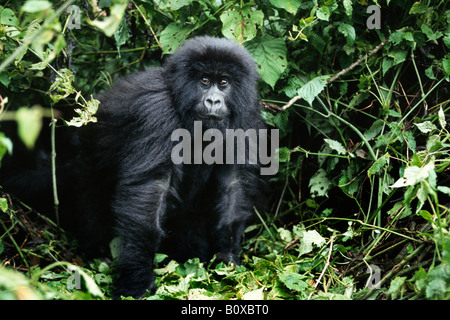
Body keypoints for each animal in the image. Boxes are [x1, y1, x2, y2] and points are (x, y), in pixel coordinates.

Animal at [0, 36, 268, 298]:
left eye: (223, 82)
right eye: (204, 80)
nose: (213, 100)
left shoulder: (247, 115)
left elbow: (234, 186)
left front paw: (227, 258)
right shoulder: (157, 112)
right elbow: (149, 192)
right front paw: (137, 281)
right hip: (85, 167)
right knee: (91, 199)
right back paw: (98, 252)